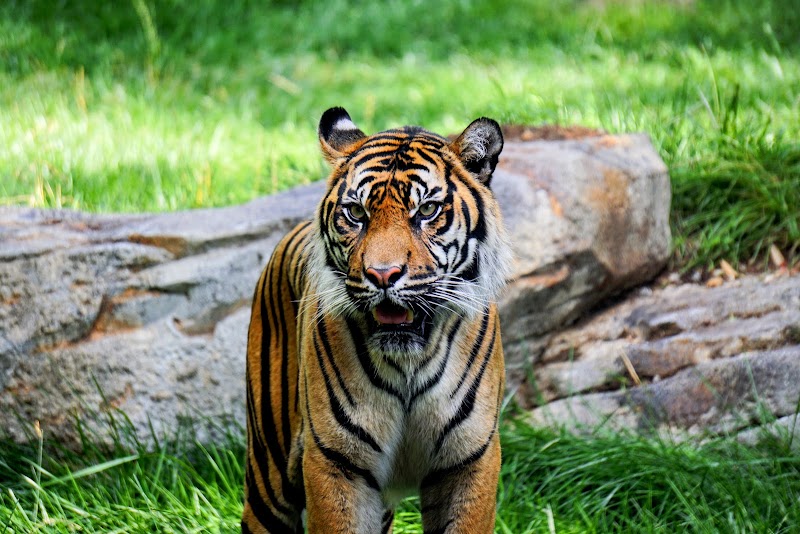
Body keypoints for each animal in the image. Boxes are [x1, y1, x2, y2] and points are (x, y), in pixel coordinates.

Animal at [242, 107, 513, 534]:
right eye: (356, 213)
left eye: (427, 211)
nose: (382, 275)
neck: (409, 363)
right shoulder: (336, 461)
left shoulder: (469, 458)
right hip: (269, 473)